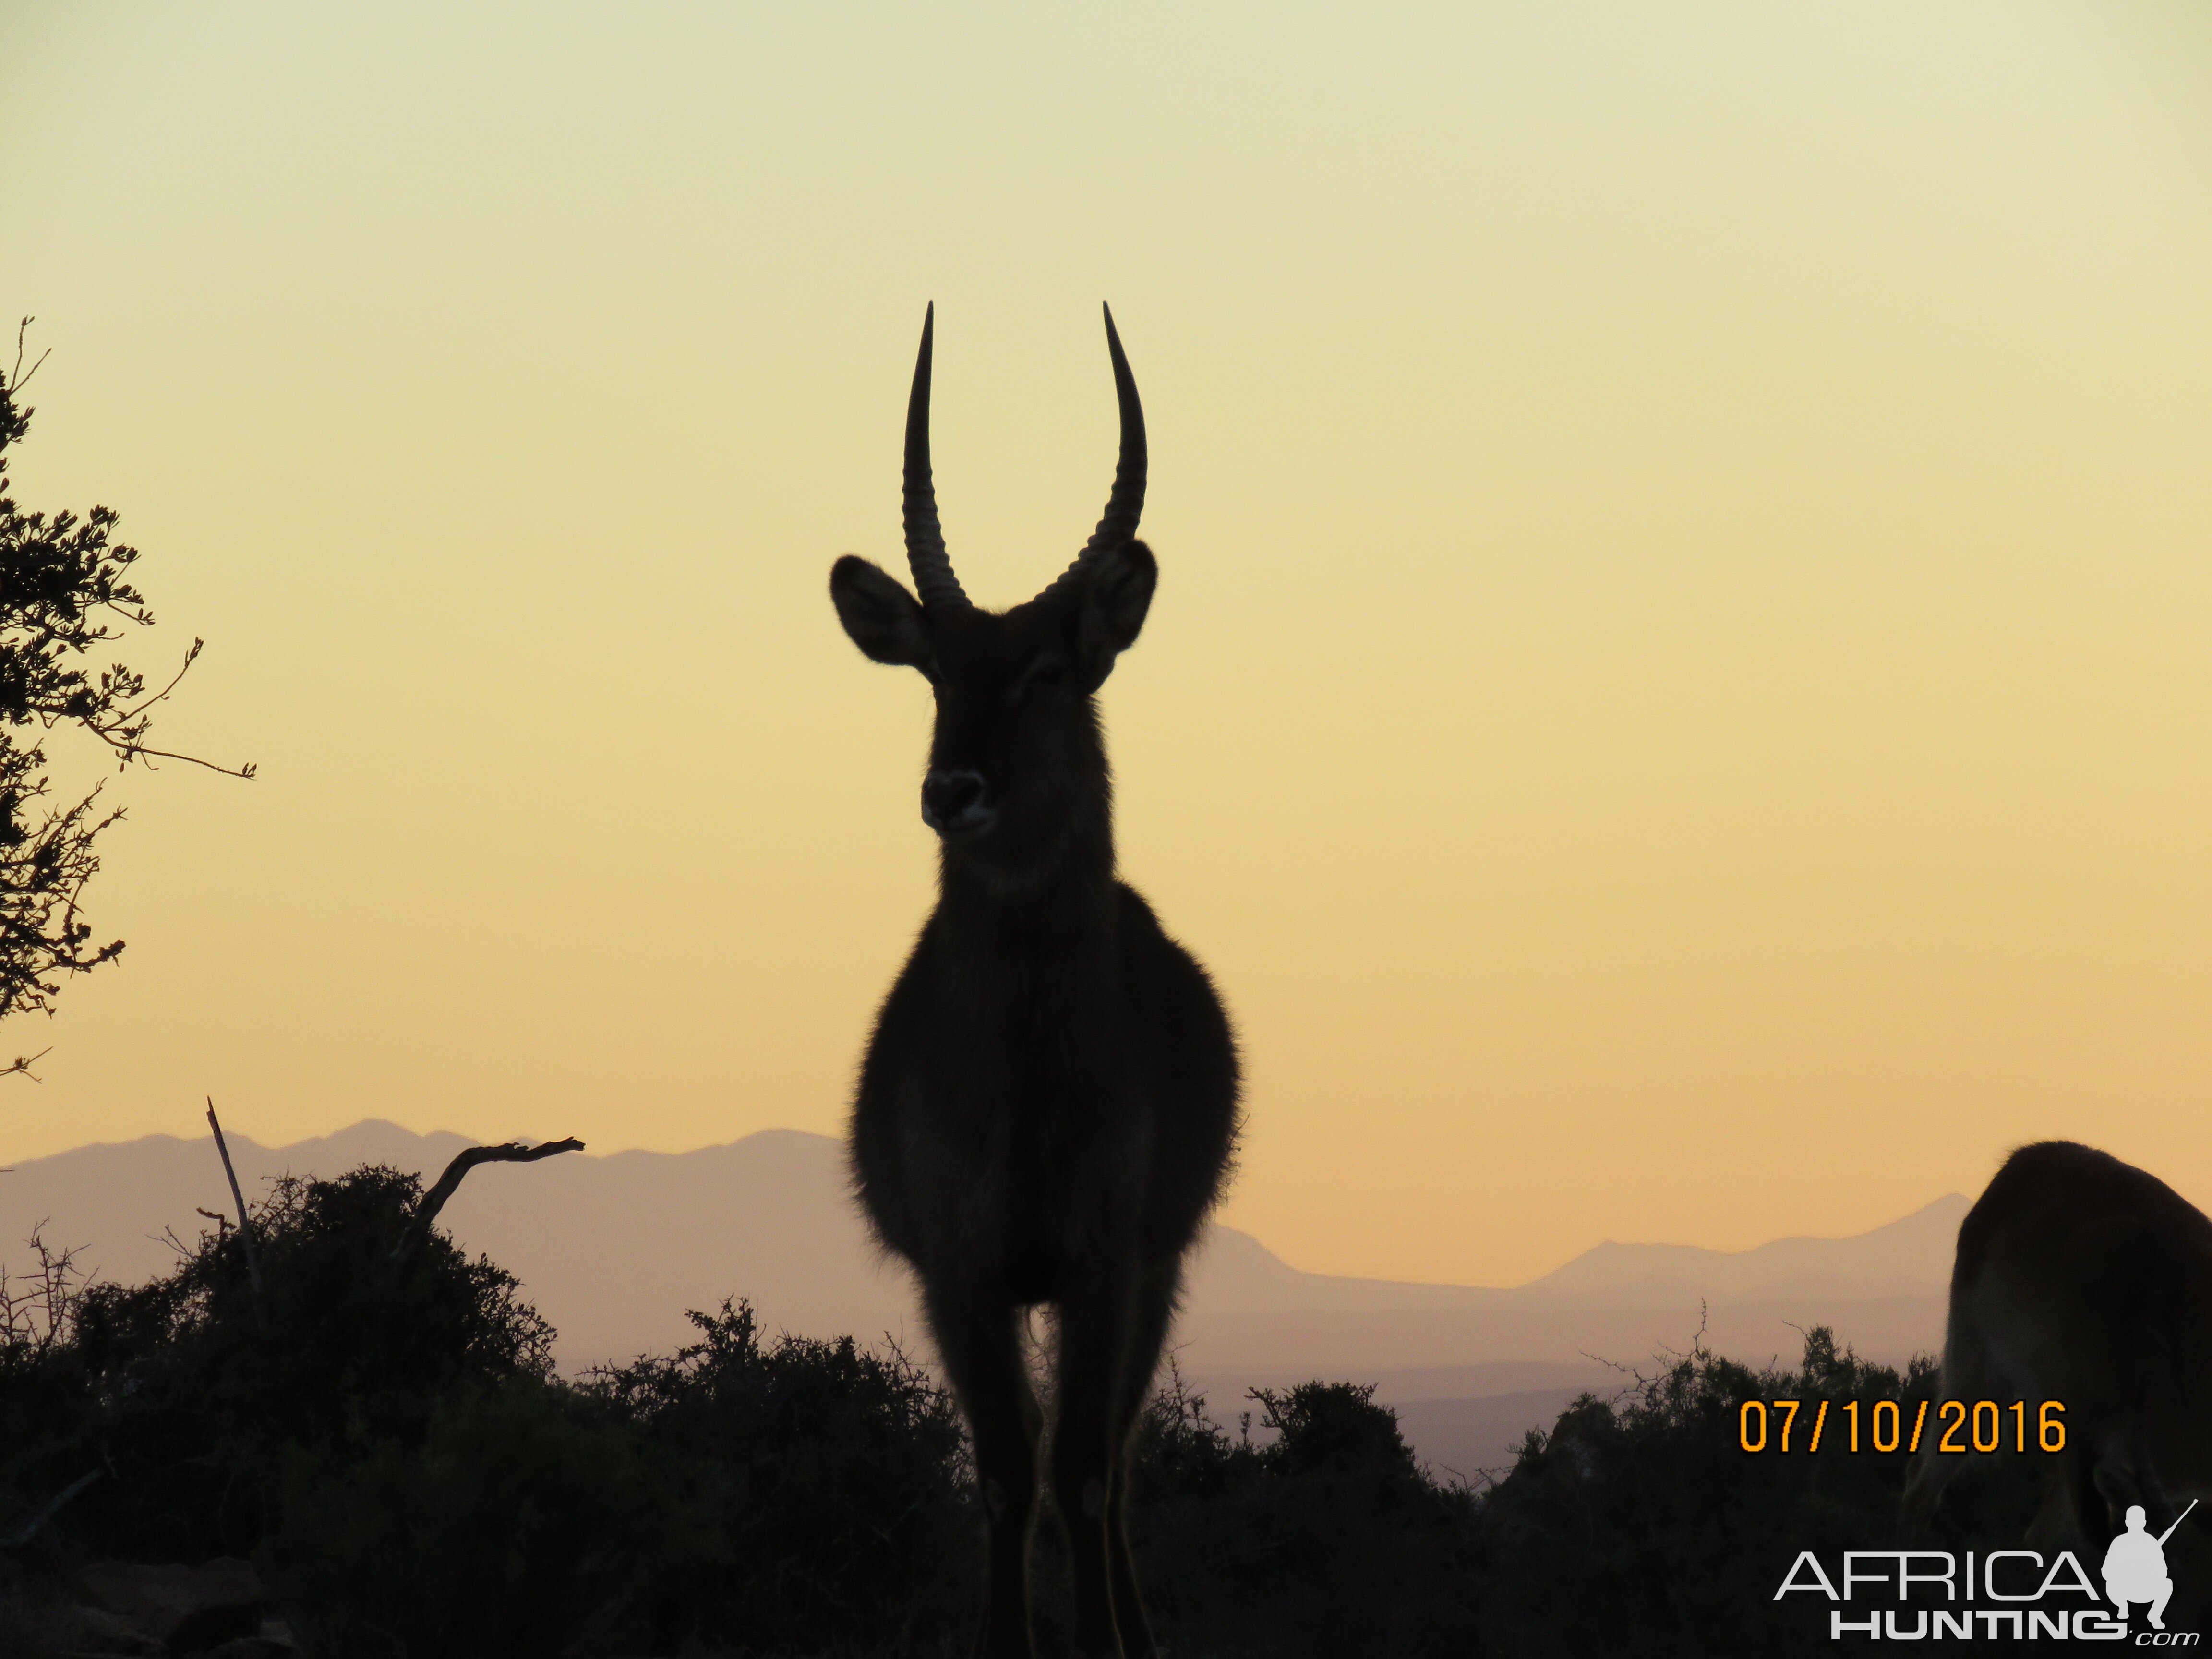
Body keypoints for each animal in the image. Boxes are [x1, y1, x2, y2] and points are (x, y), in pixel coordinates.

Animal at [831, 303, 1247, 1659]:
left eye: (1049, 671)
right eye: (936, 673)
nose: (952, 789)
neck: (1021, 1076)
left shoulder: (1105, 1260)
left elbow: (1078, 1470)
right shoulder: (961, 1272)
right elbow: (1009, 1475)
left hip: (1153, 1274)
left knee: (1115, 1462)